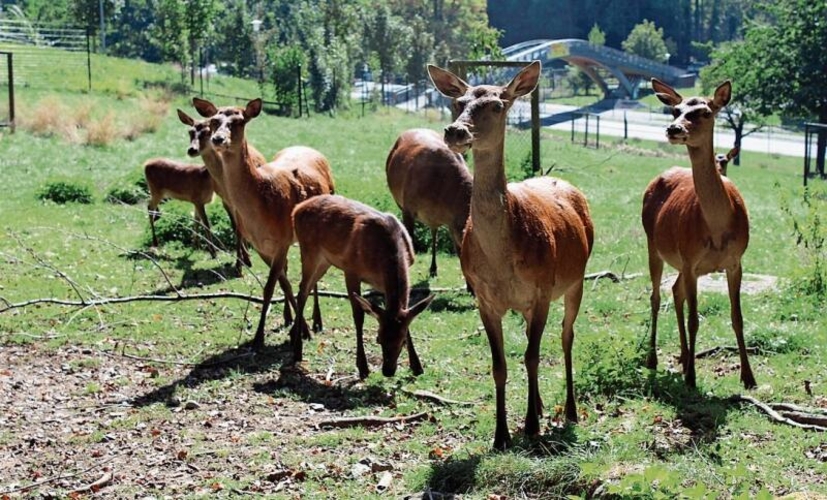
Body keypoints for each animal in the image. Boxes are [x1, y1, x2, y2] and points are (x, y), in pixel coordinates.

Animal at [194, 95, 336, 350]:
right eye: (213, 121)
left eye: (239, 121)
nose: (218, 139)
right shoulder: (261, 246)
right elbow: (282, 283)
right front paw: (296, 328)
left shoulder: (282, 239)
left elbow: (271, 286)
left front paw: (261, 336)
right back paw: (292, 319)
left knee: (313, 277)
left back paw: (317, 321)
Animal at [290, 193, 434, 376]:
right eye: (379, 339)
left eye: (402, 341)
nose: (388, 371)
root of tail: (296, 210)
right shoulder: (351, 270)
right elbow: (358, 316)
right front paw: (362, 366)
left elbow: (407, 314)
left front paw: (417, 366)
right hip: (308, 251)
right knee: (302, 291)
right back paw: (297, 350)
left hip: (324, 261)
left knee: (306, 288)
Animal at [426, 61, 596, 450]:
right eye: (458, 102)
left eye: (497, 105)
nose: (455, 131)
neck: (502, 261)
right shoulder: (485, 298)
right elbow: (500, 365)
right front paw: (501, 434)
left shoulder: (542, 289)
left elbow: (533, 356)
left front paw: (531, 426)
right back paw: (541, 405)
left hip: (576, 280)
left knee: (566, 337)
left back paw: (569, 410)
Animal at [648, 79, 756, 390]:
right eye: (675, 110)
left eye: (706, 112)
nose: (674, 129)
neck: (718, 230)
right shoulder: (691, 260)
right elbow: (695, 319)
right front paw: (692, 378)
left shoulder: (736, 261)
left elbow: (737, 316)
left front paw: (748, 377)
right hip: (653, 245)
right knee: (656, 296)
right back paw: (654, 359)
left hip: (680, 262)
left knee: (675, 291)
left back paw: (685, 357)